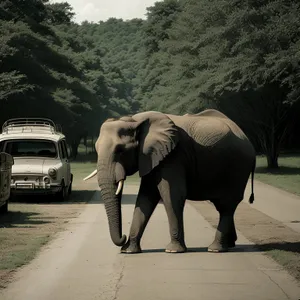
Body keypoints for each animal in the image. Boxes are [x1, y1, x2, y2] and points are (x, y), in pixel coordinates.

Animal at [82, 109, 255, 254]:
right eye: (96, 149)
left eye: (120, 150)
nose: (122, 237)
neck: (135, 121)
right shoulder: (151, 157)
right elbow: (145, 198)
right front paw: (129, 251)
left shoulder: (174, 156)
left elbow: (172, 194)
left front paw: (173, 250)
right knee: (222, 206)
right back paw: (230, 244)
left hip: (238, 168)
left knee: (227, 205)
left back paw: (216, 249)